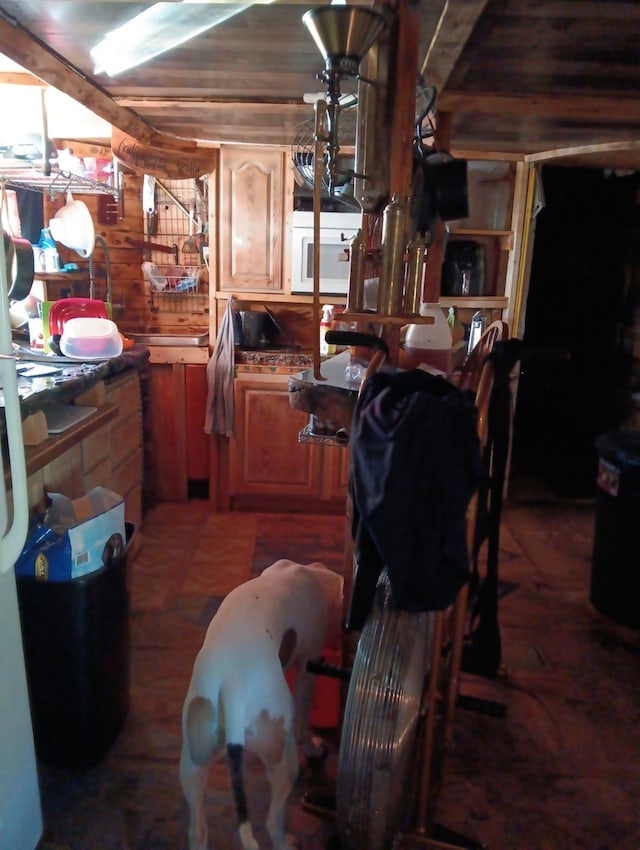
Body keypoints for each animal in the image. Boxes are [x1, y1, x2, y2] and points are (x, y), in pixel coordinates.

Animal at [180, 556, 342, 848]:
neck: (307, 573)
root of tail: (232, 687)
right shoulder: (307, 666)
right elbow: (303, 719)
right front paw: (312, 745)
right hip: (283, 763)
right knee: (272, 822)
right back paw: (287, 841)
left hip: (192, 766)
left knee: (197, 829)